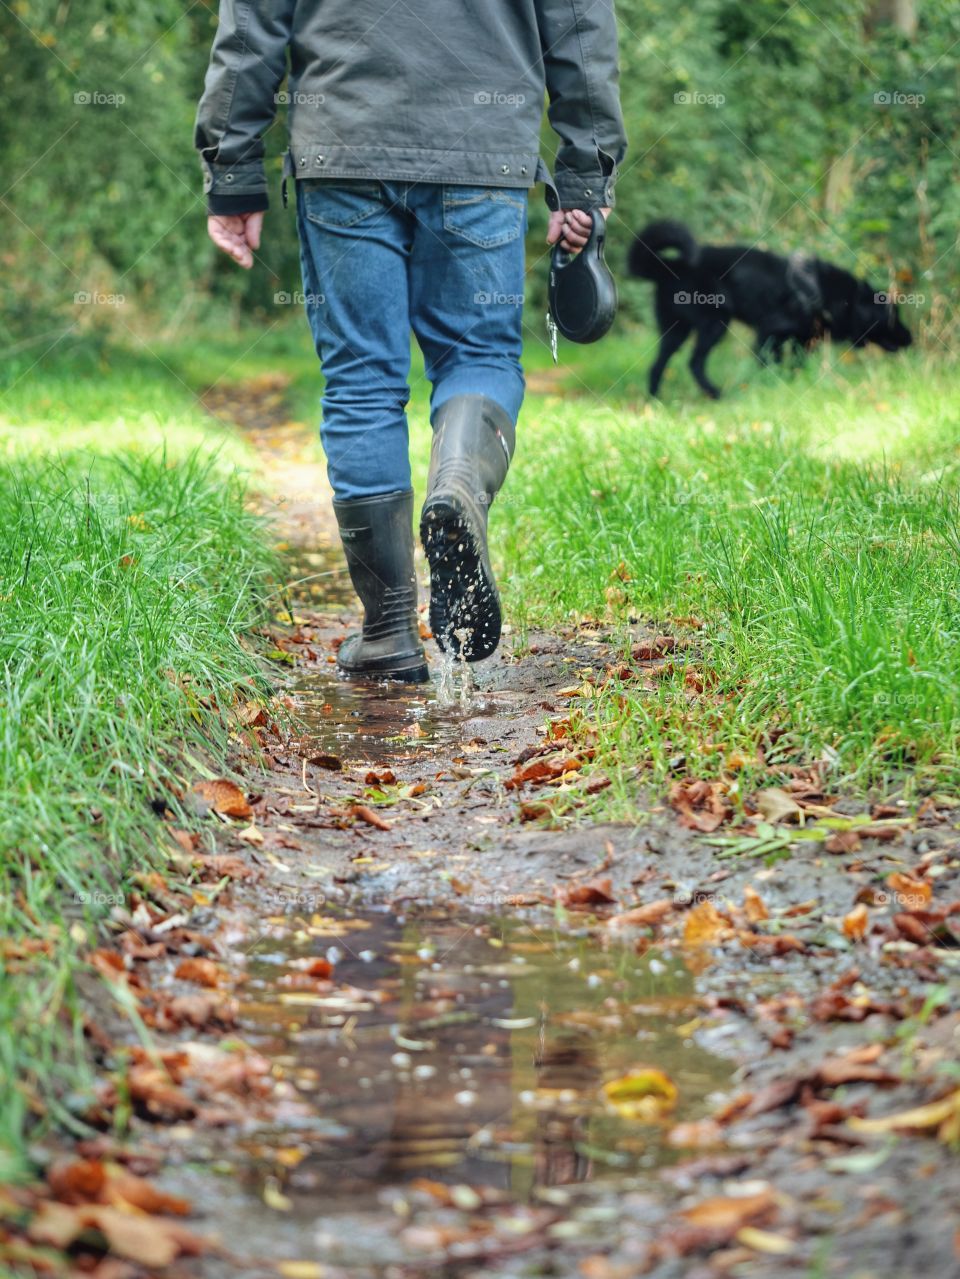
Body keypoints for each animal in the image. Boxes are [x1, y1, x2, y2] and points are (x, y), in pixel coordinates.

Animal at [626, 221, 910, 399]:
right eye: (892, 317)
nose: (911, 339)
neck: (828, 295)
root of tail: (667, 267)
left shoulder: (802, 341)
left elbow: (794, 366)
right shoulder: (769, 333)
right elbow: (769, 363)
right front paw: (768, 386)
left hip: (676, 331)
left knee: (658, 365)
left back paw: (655, 399)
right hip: (715, 323)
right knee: (694, 362)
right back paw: (715, 393)